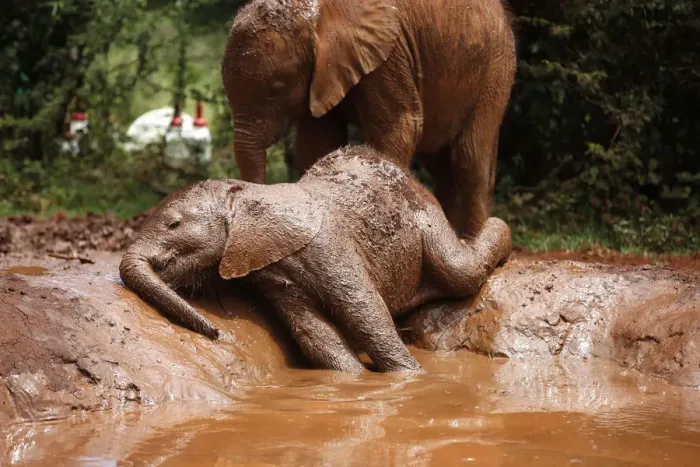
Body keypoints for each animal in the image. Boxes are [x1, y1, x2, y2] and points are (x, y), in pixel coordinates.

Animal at [119, 146, 512, 372]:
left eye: (174, 224)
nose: (216, 332)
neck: (250, 194)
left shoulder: (329, 245)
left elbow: (367, 315)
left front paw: (410, 377)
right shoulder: (272, 272)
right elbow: (315, 335)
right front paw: (355, 380)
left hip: (424, 214)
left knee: (459, 270)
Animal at [221, 0, 516, 239]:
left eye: (277, 87)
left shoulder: (390, 51)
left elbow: (399, 125)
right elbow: (318, 143)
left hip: (496, 67)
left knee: (469, 158)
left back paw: (471, 245)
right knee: (439, 164)